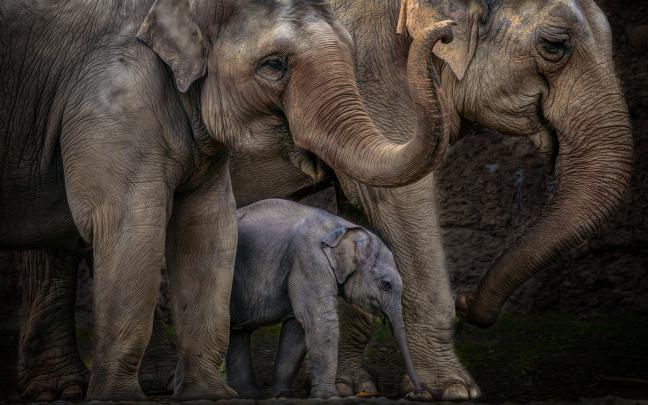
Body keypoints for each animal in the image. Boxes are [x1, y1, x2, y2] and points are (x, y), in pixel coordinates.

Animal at [224, 199, 420, 399]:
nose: (414, 393)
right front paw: (330, 397)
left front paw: (282, 396)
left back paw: (250, 395)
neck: (342, 227)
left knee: (238, 332)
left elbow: (297, 328)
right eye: (386, 285)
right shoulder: (309, 260)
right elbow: (320, 319)